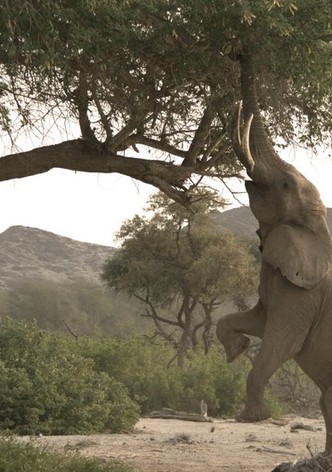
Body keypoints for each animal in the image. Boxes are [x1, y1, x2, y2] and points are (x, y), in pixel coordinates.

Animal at [215, 53, 332, 452]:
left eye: (284, 185)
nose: (240, 53)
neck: (319, 229)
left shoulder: (305, 294)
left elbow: (282, 340)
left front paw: (252, 418)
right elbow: (256, 321)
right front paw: (236, 348)